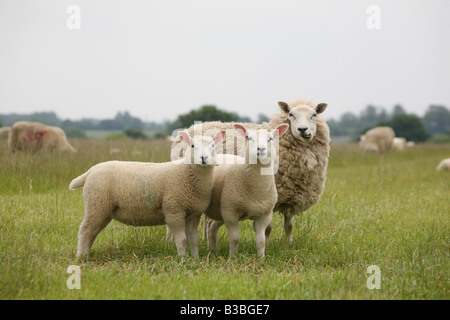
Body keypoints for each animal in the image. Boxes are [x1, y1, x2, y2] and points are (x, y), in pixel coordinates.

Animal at [171, 97, 330, 242]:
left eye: (314, 114)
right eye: (291, 114)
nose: (302, 130)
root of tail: (185, 131)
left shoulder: (292, 195)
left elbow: (289, 227)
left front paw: (289, 246)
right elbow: (267, 229)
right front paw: (268, 244)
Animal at [204, 122, 288, 258]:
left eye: (270, 138)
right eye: (250, 138)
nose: (261, 149)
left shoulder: (265, 214)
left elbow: (261, 240)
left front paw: (261, 258)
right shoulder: (230, 212)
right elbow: (234, 239)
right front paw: (232, 258)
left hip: (218, 211)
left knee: (212, 227)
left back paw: (212, 251)